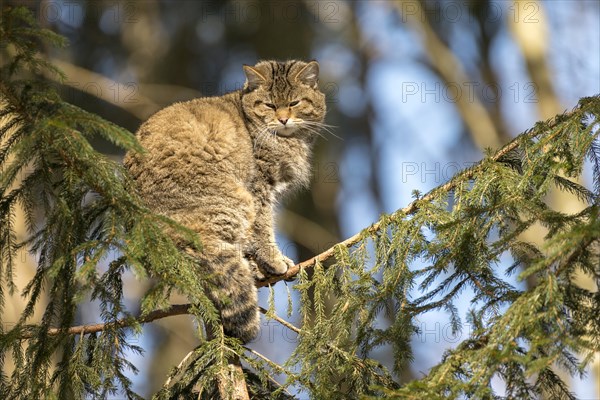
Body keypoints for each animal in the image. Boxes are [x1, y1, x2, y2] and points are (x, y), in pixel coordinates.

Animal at [122, 61, 326, 342]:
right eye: (269, 105)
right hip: (234, 201)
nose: (283, 119)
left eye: (294, 102)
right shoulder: (259, 188)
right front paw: (273, 259)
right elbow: (263, 228)